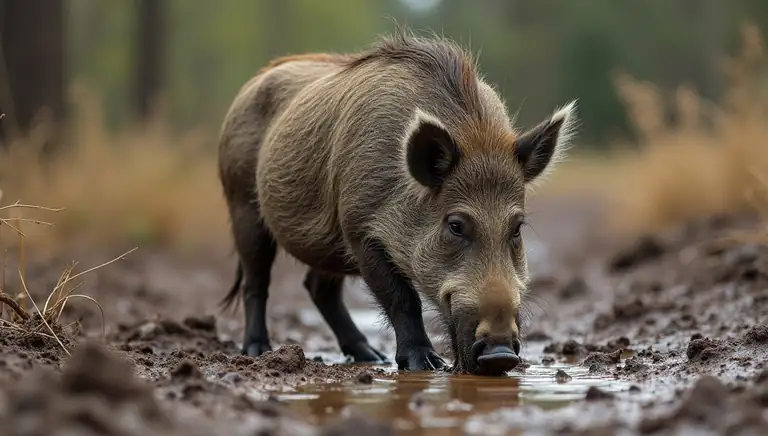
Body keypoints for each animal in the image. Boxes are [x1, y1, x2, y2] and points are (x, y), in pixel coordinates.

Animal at [217, 29, 577, 376]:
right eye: (455, 225)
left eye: (517, 228)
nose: (500, 354)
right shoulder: (360, 229)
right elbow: (403, 299)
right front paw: (426, 365)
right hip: (242, 204)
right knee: (257, 281)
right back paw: (257, 351)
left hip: (327, 243)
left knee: (318, 287)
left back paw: (369, 357)